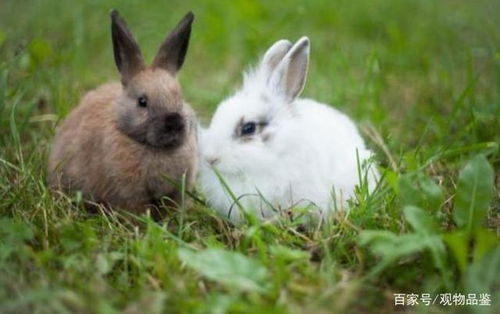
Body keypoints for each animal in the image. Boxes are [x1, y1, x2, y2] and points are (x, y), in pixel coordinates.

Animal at [48, 8, 197, 217]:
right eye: (142, 102)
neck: (155, 149)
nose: (174, 122)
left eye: (180, 97)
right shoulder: (130, 194)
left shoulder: (176, 192)